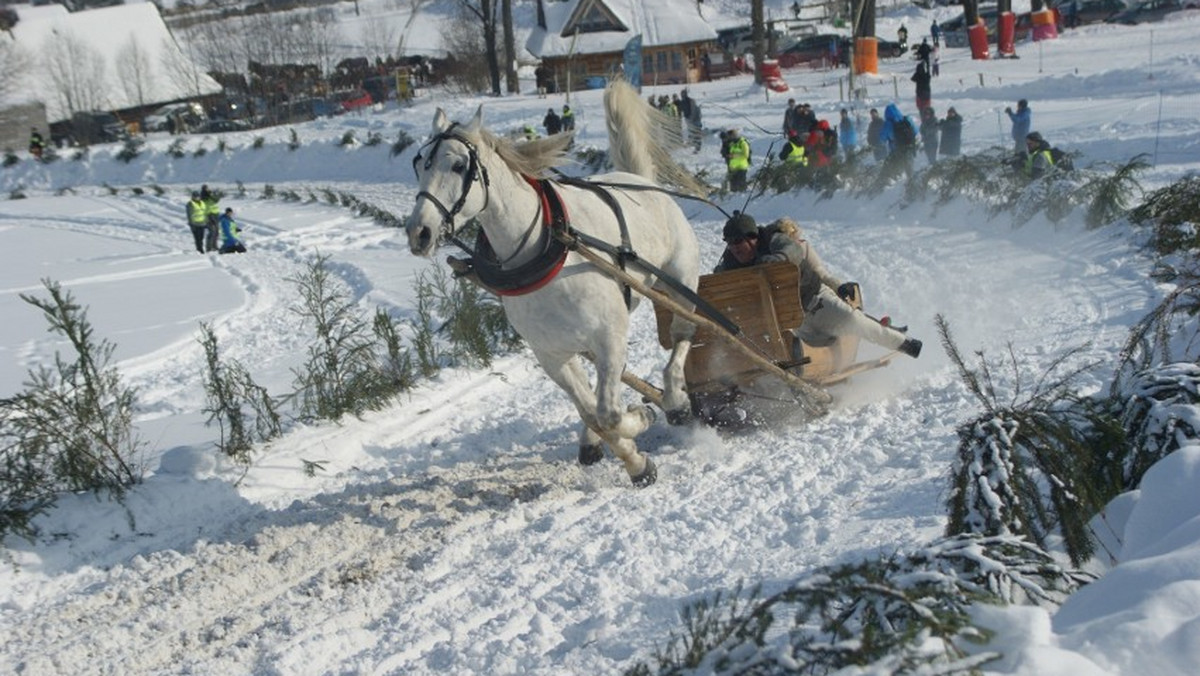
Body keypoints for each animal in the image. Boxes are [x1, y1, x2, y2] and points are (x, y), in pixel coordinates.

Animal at [405, 80, 700, 487]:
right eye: (420, 164)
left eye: (459, 165)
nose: (419, 232)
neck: (545, 250)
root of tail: (641, 181)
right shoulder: (551, 354)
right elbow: (593, 412)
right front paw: (633, 458)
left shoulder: (610, 335)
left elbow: (609, 413)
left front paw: (640, 421)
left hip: (680, 283)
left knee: (683, 337)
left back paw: (674, 399)